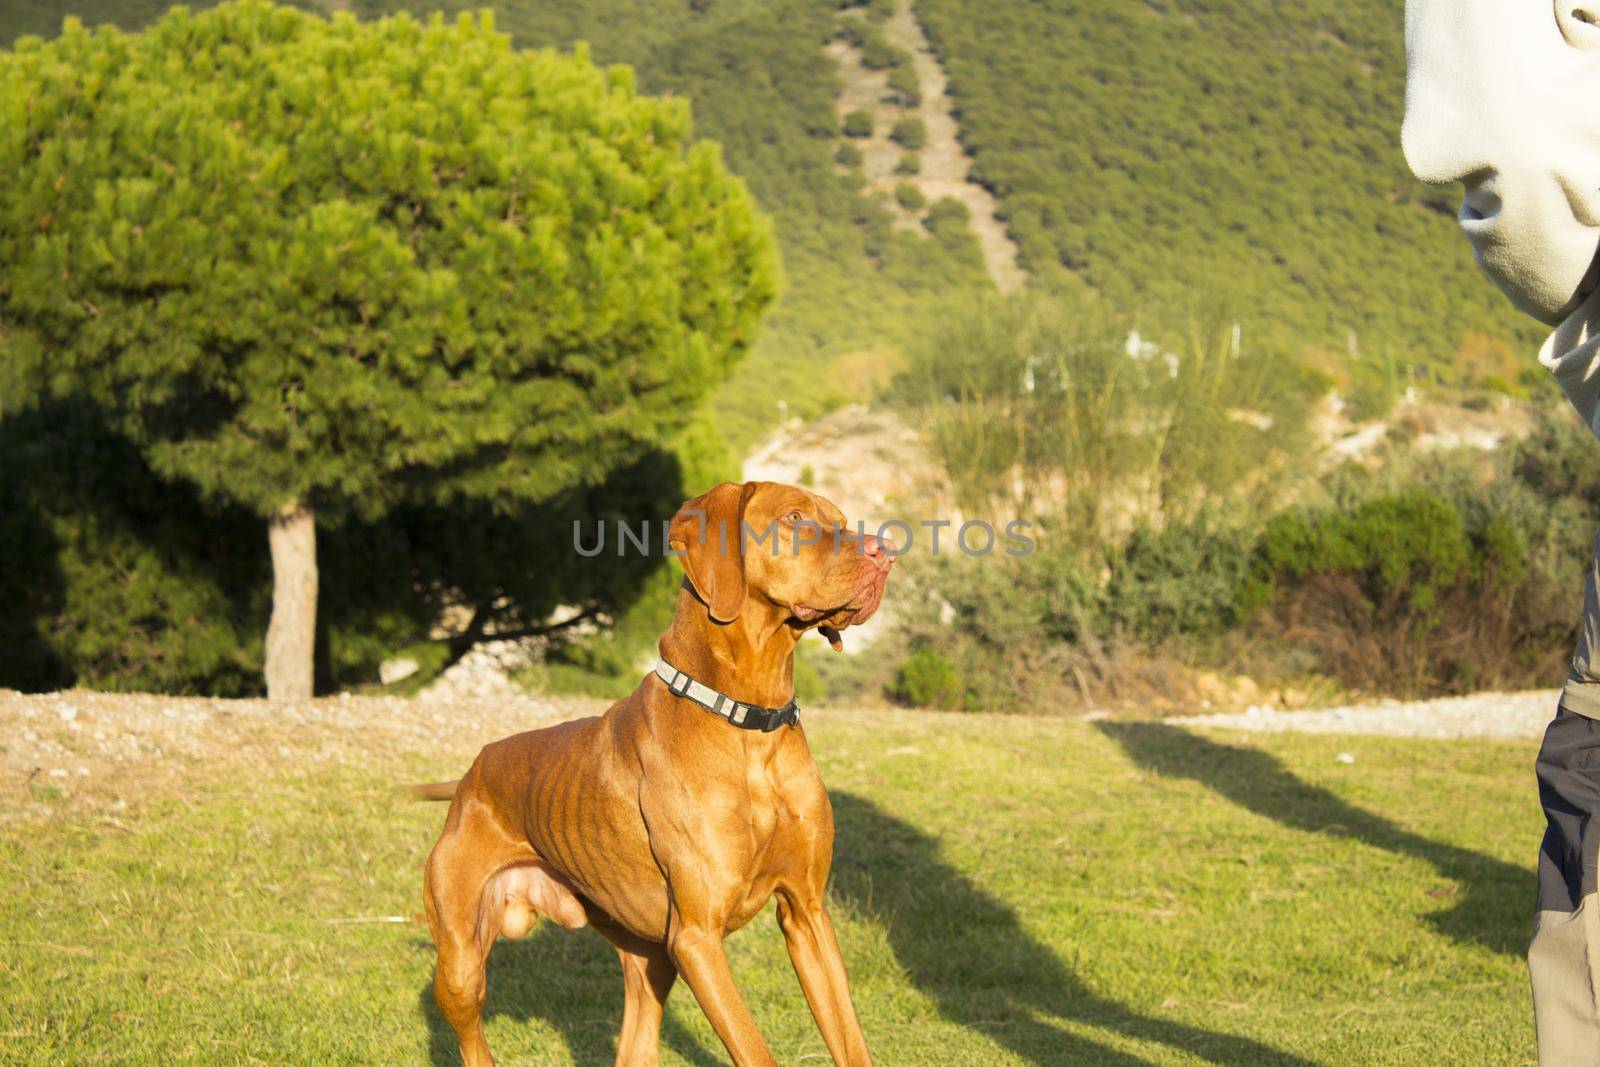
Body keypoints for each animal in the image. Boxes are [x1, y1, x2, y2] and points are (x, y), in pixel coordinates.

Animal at [419, 486, 896, 1067]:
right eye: (794, 517)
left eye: (842, 519)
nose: (886, 551)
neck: (748, 723)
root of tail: (471, 774)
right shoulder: (697, 939)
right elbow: (756, 1051)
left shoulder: (807, 914)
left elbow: (849, 1040)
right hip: (461, 966)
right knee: (470, 1033)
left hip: (649, 961)